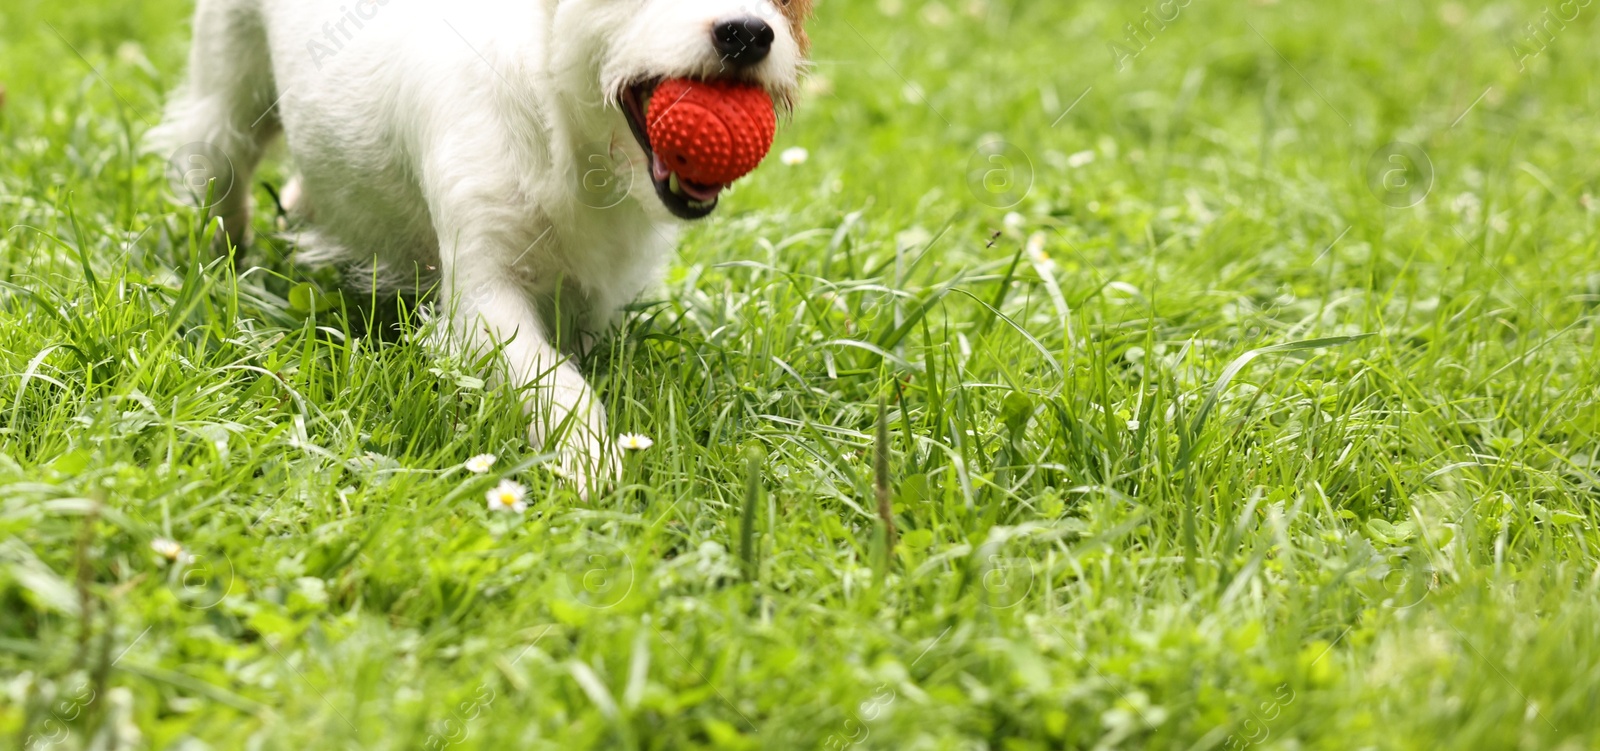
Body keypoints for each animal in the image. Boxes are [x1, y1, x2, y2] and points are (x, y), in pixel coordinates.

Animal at [151, 0, 812, 493]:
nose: (747, 33)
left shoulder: (592, 296)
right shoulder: (482, 299)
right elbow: (553, 378)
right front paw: (589, 458)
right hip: (228, 96)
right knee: (220, 171)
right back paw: (216, 267)